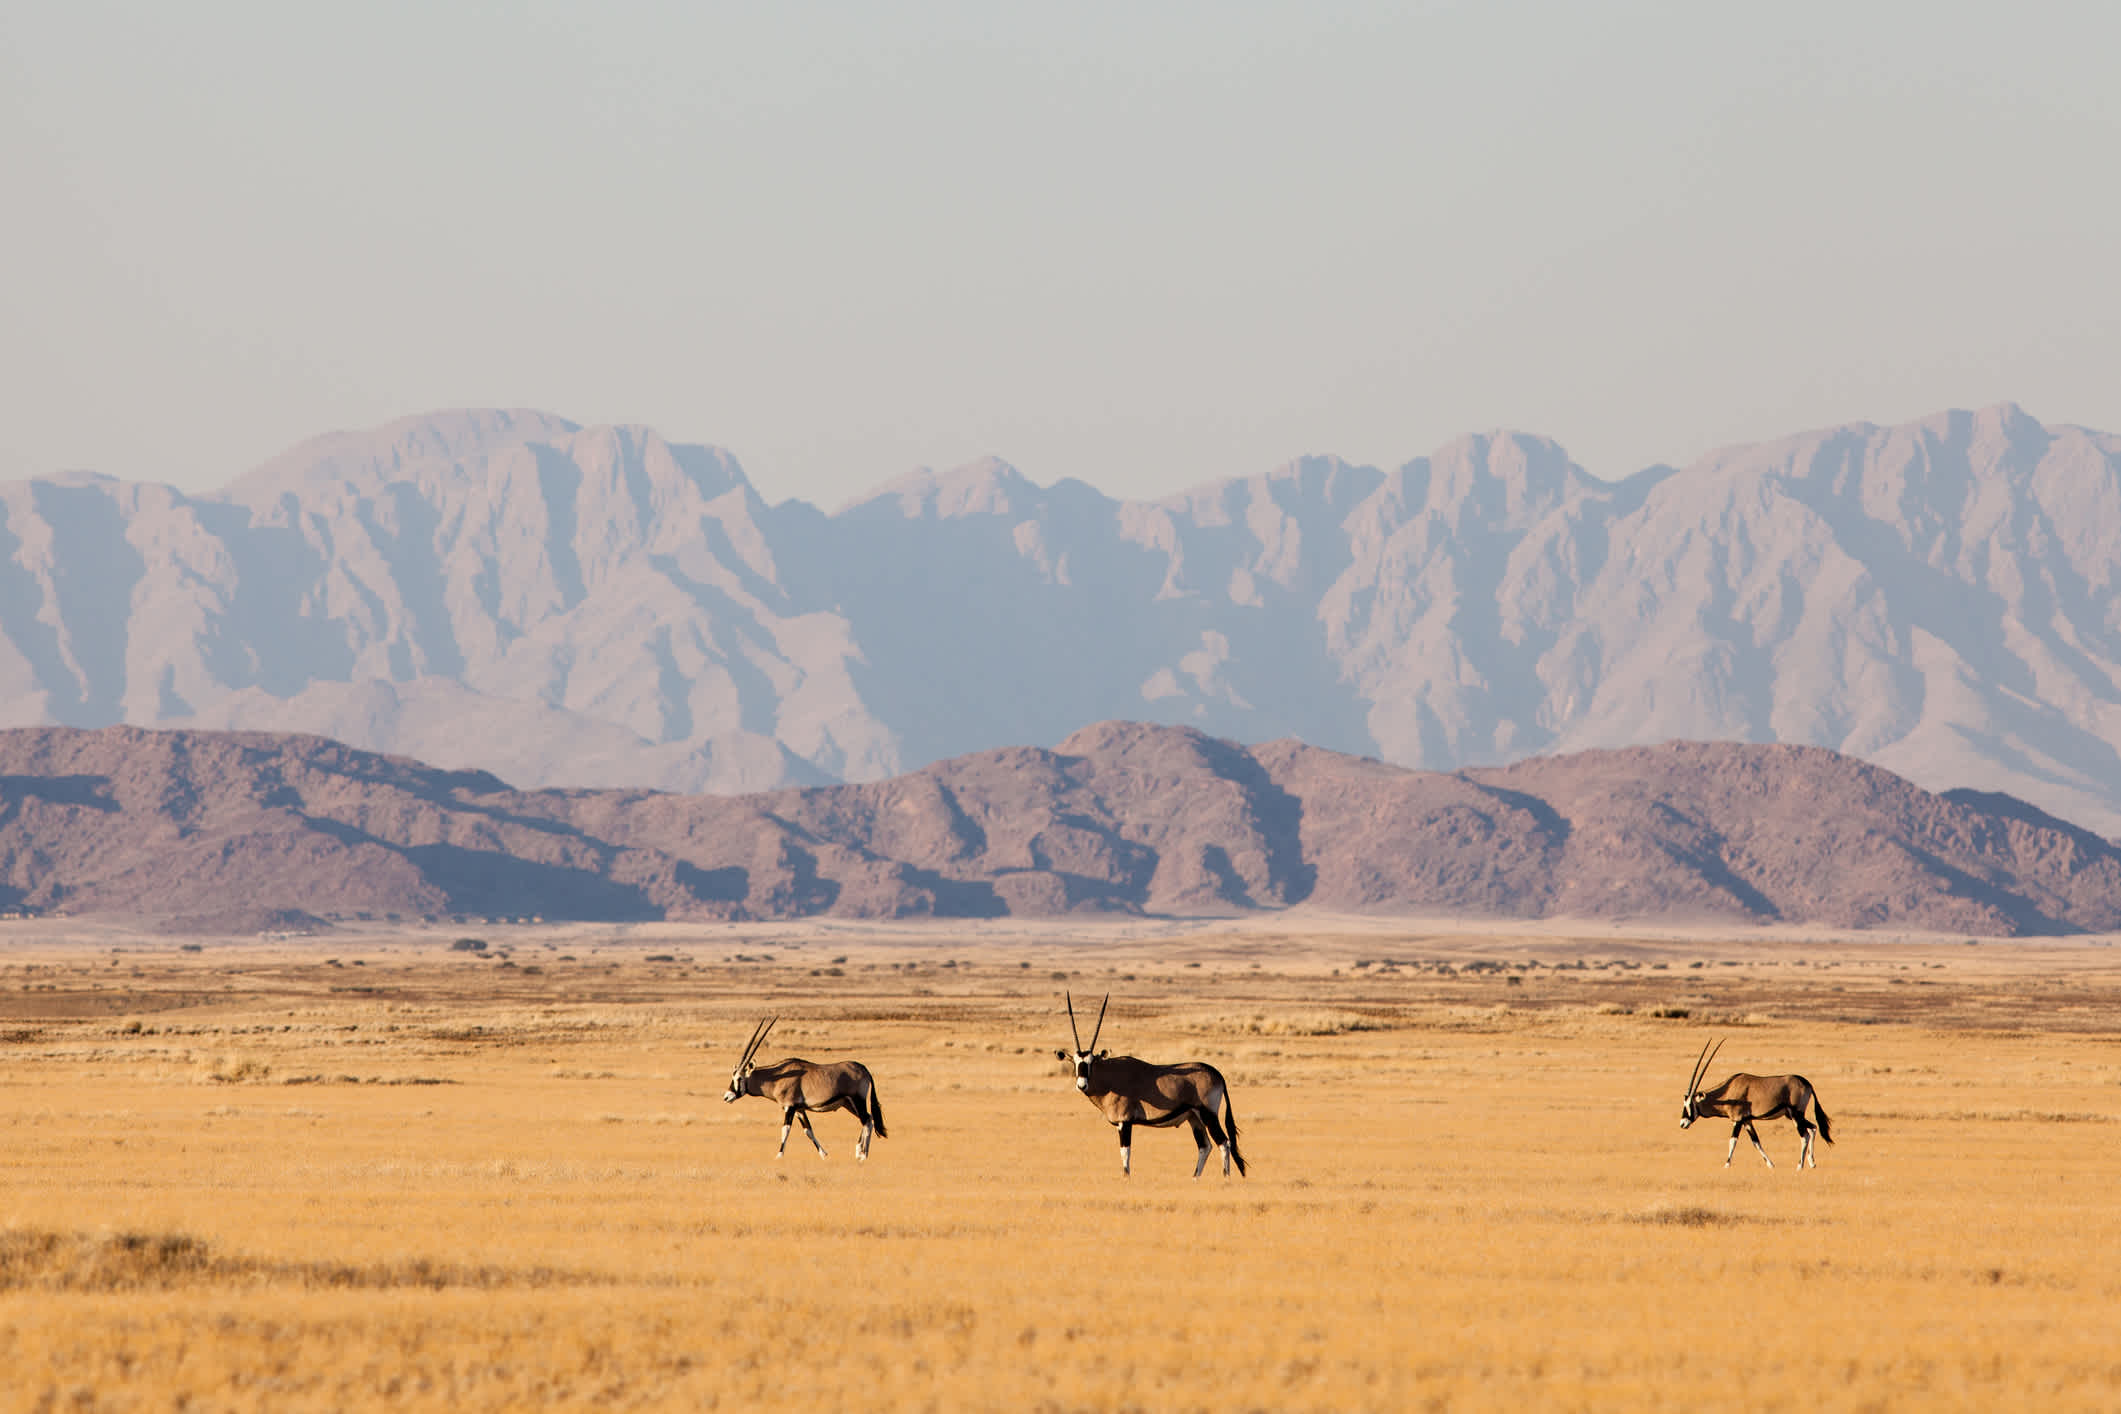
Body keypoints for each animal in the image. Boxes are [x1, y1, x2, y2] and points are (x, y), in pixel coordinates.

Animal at [721, 1017, 886, 1161]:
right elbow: (808, 1130)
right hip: (848, 1104)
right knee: (868, 1119)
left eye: (739, 1078)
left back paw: (863, 1155)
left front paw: (779, 1156)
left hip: (857, 1100)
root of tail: (864, 1069)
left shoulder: (789, 1107)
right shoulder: (800, 1109)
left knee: (866, 1120)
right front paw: (824, 1154)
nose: (727, 1097)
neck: (777, 1077)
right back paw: (860, 1152)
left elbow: (785, 1130)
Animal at [1056, 996, 1247, 1187]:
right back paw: (1194, 1179)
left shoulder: (1124, 1122)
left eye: (1091, 1062)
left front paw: (1126, 1179)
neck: (1110, 1077)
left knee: (1224, 1142)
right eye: (1075, 1062)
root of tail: (1217, 1074)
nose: (1082, 1085)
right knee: (1205, 1146)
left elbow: (1125, 1152)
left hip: (1208, 1114)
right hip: (1194, 1117)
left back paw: (1226, 1178)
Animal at [1679, 1038, 1832, 1170]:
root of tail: (1807, 1083)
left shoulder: (1738, 1120)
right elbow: (1756, 1142)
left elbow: (1732, 1141)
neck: (1728, 1091)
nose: (1682, 1124)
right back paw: (1812, 1163)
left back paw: (1800, 1166)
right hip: (1794, 1115)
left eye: (1690, 1105)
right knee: (1813, 1128)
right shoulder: (1747, 1121)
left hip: (1796, 1114)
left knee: (1804, 1135)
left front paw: (1726, 1165)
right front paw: (1770, 1164)